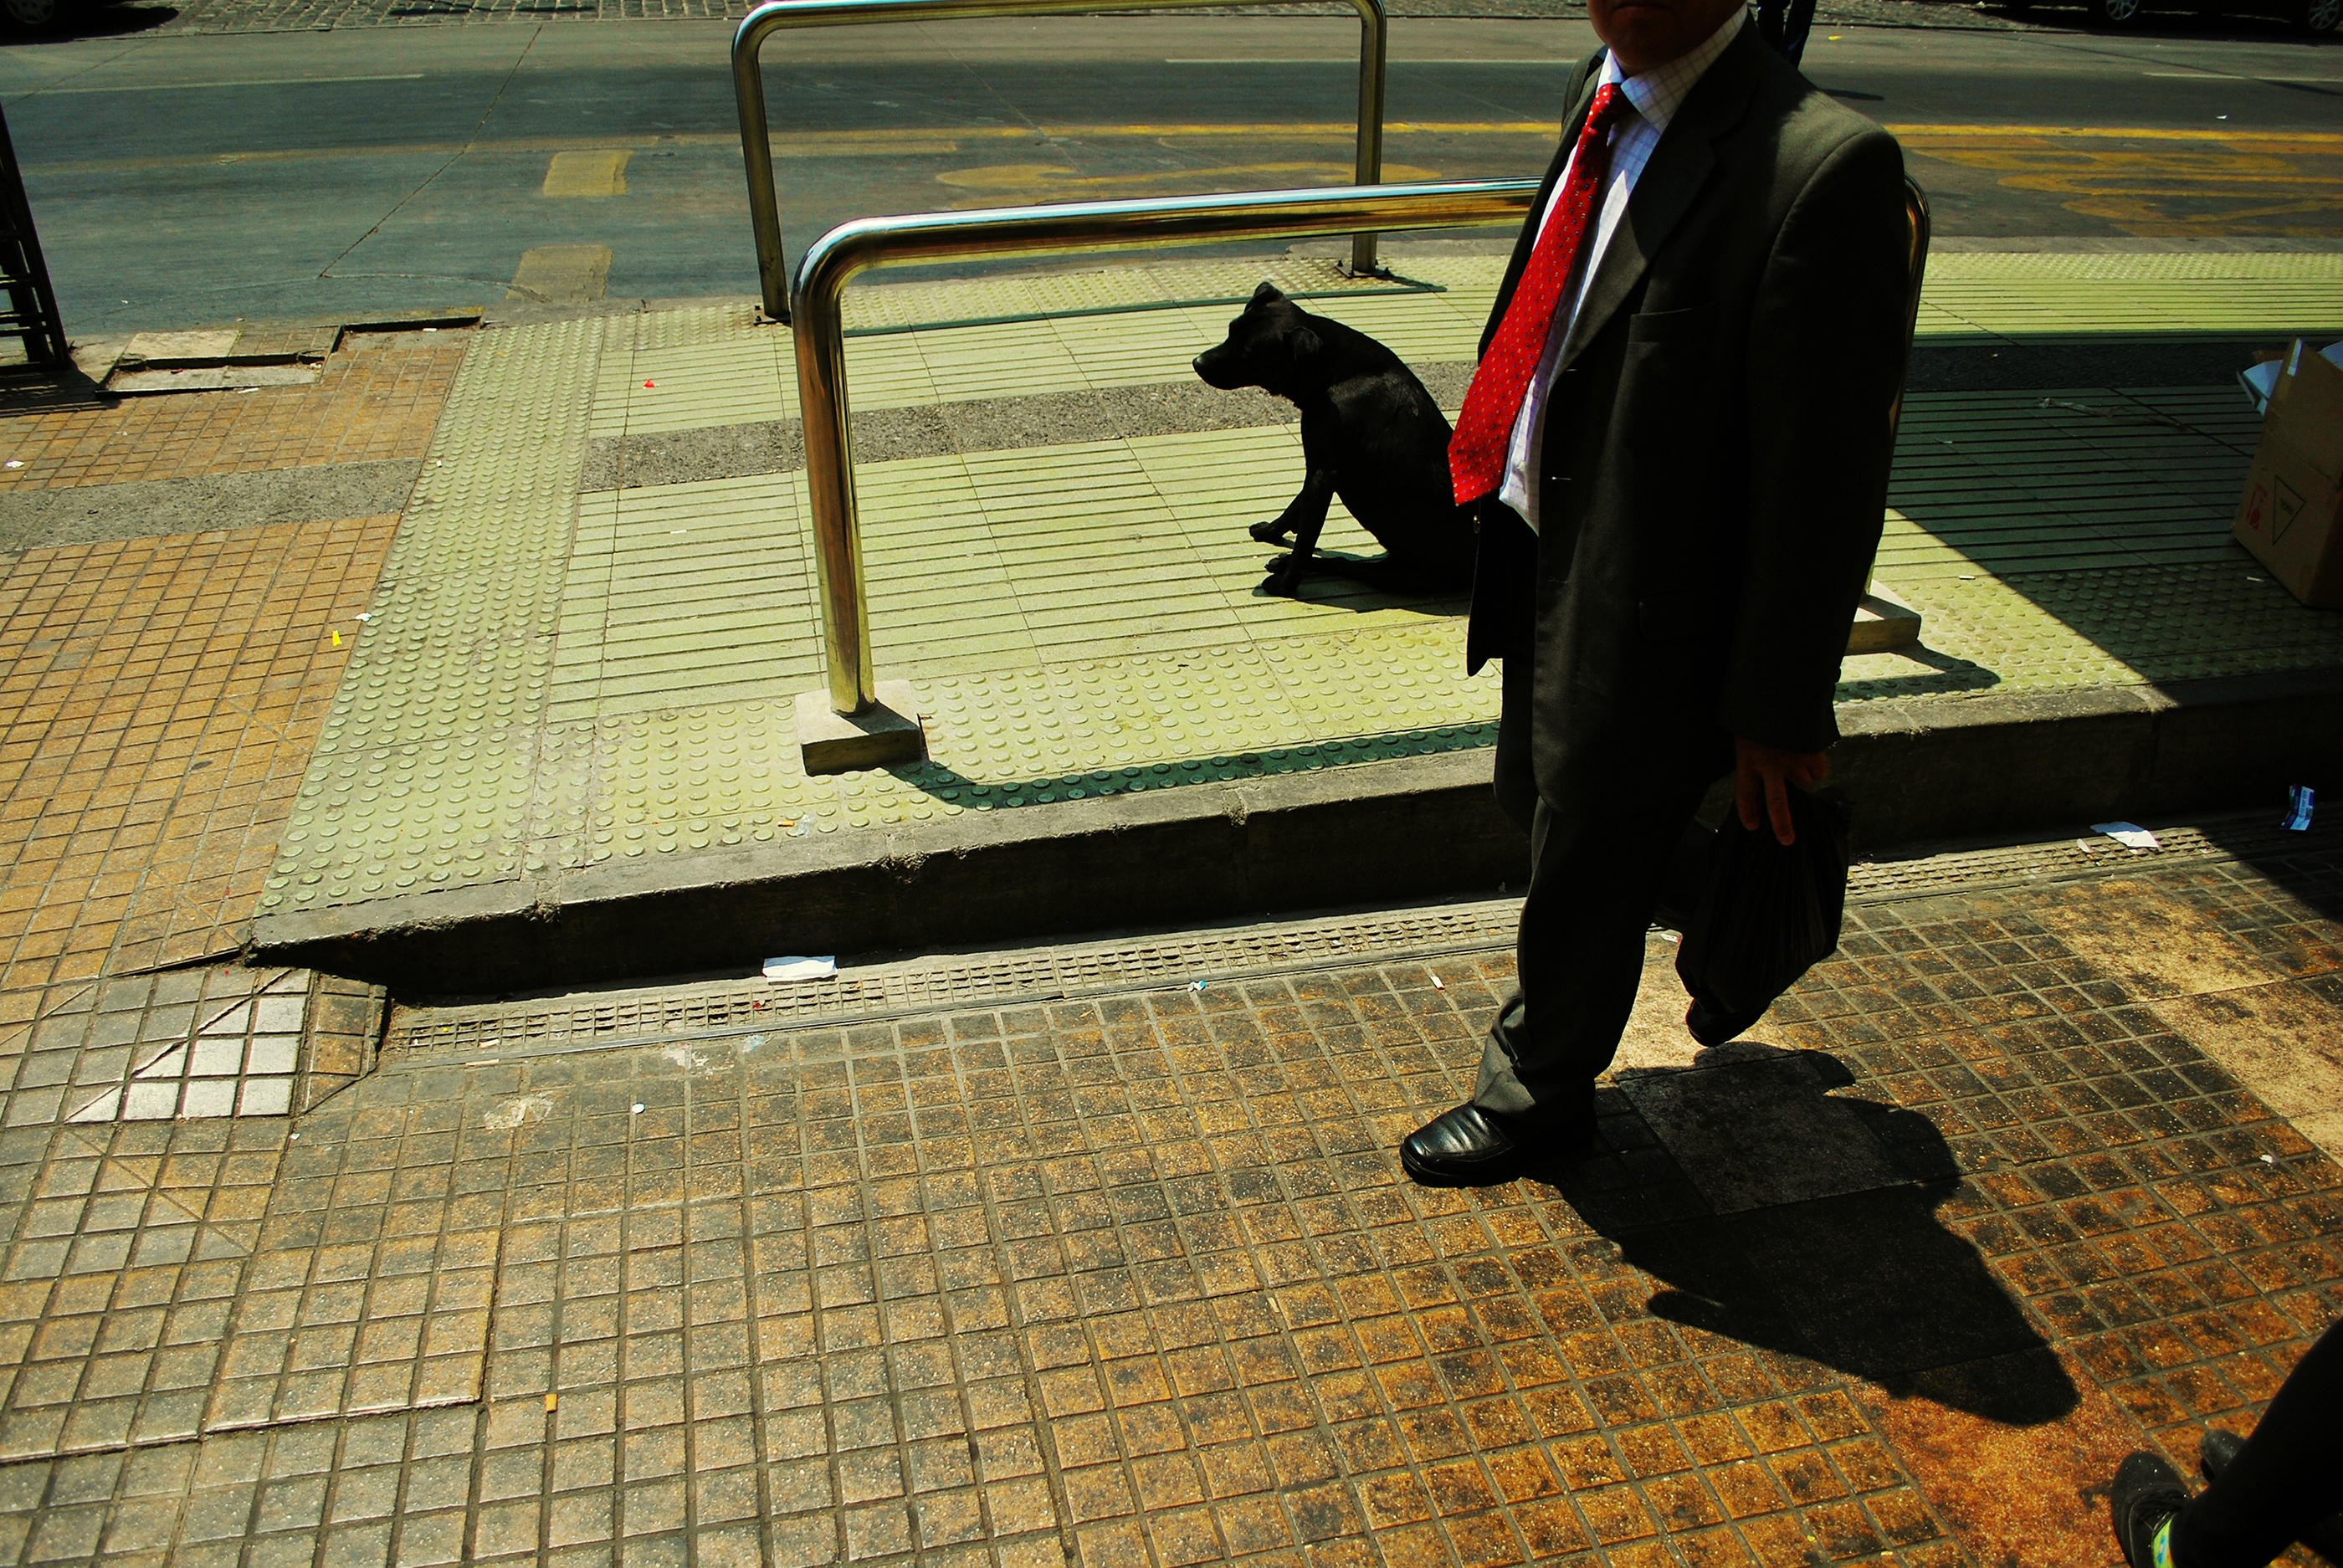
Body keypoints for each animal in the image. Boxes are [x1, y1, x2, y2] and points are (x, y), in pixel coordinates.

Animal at [1192, 282, 1475, 598]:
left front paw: (1285, 585)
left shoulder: (1323, 472)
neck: (1335, 375)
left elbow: (1306, 538)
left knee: (1345, 565)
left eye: (1249, 353)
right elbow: (1296, 508)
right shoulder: (1319, 464)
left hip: (1403, 576)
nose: (1197, 362)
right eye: (1231, 329)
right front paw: (1270, 532)